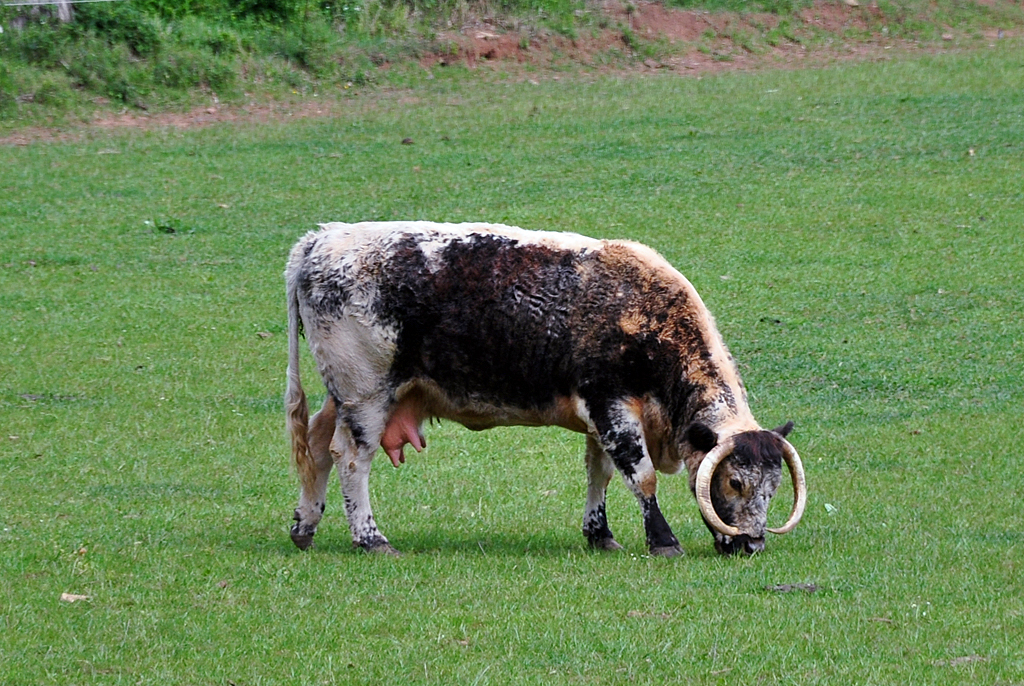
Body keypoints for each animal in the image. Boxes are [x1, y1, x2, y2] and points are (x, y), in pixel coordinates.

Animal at [284, 223, 802, 556]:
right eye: (734, 481)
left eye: (773, 487)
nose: (753, 544)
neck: (645, 314)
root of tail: (318, 241)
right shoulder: (613, 408)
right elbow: (642, 477)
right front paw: (663, 541)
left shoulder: (600, 421)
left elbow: (600, 474)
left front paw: (600, 534)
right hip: (366, 396)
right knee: (352, 458)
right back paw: (371, 539)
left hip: (345, 396)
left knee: (318, 445)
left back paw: (305, 526)